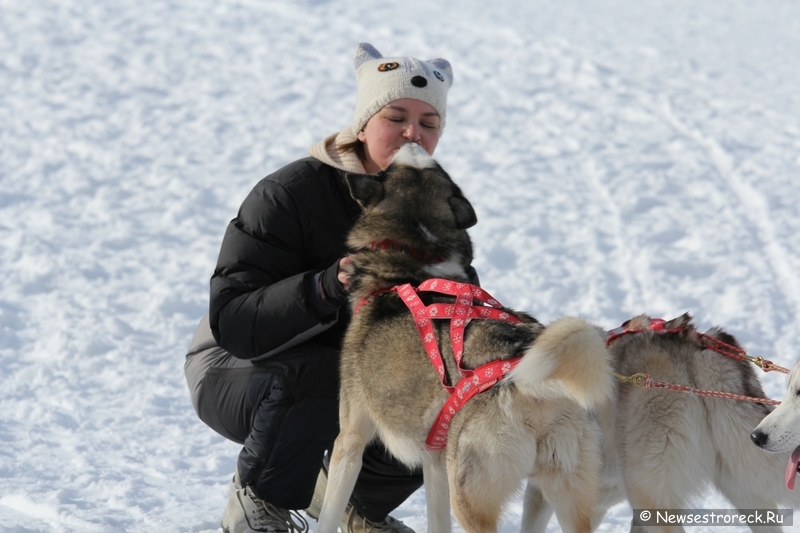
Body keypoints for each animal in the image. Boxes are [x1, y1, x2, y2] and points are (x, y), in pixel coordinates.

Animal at [318, 141, 612, 532]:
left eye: (393, 168)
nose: (411, 141)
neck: (416, 255)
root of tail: (531, 387)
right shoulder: (434, 459)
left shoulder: (351, 438)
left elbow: (329, 511)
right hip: (560, 494)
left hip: (472, 497)